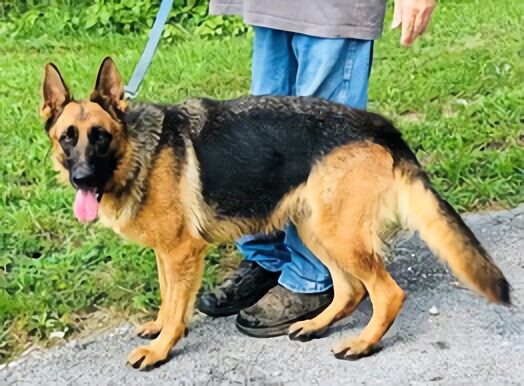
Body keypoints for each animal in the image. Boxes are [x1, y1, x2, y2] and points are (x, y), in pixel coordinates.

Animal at [42, 58, 512, 370]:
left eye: (100, 137)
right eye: (68, 138)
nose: (82, 179)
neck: (141, 149)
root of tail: (379, 125)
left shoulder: (181, 252)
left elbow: (177, 305)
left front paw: (162, 349)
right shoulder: (167, 253)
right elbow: (167, 297)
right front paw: (159, 329)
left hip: (337, 233)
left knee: (386, 293)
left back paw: (363, 344)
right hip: (315, 228)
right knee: (349, 291)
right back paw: (316, 325)